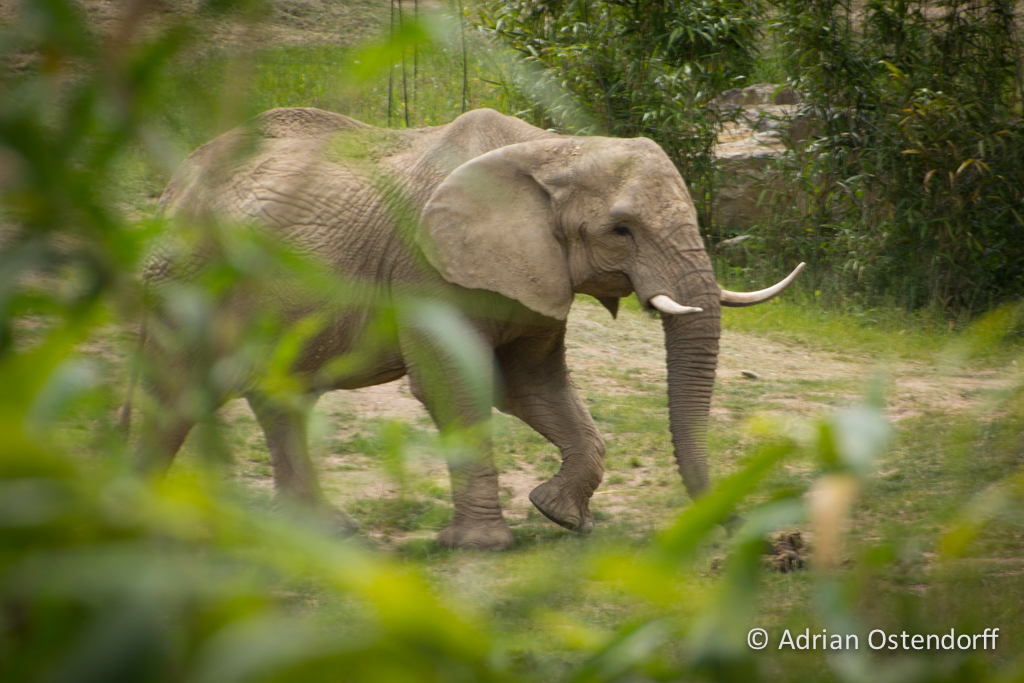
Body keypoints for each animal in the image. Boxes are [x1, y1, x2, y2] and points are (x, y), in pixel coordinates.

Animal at [130, 109, 798, 552]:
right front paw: (481, 546)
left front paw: (561, 517)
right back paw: (134, 516)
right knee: (177, 388)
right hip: (185, 275)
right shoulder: (426, 267)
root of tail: (175, 182)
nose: (747, 532)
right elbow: (453, 381)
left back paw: (322, 533)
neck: (554, 149)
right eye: (622, 231)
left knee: (280, 394)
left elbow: (531, 386)